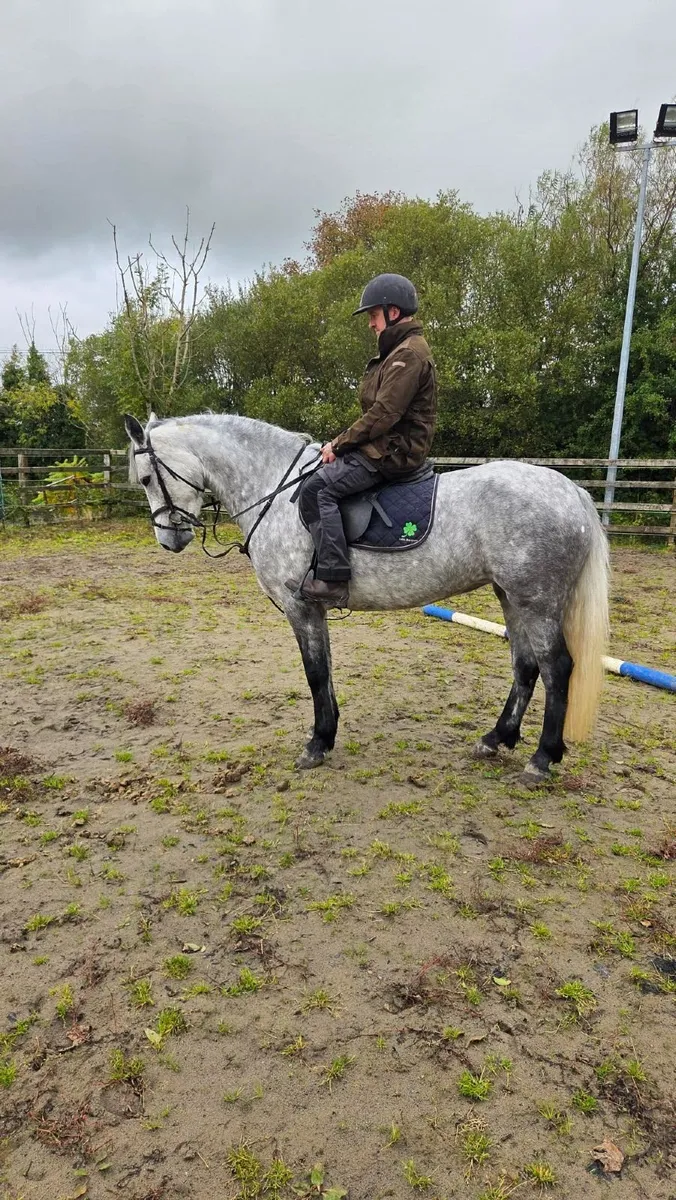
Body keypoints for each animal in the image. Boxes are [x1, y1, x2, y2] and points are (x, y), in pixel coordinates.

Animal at [125, 411, 609, 785]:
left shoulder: (300, 607)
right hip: (511, 596)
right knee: (526, 666)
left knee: (557, 668)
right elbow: (325, 671)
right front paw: (328, 733)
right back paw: (496, 739)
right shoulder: (313, 610)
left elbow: (315, 673)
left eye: (146, 477)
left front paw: (316, 743)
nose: (169, 540)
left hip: (537, 600)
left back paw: (542, 759)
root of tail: (571, 491)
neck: (274, 492)